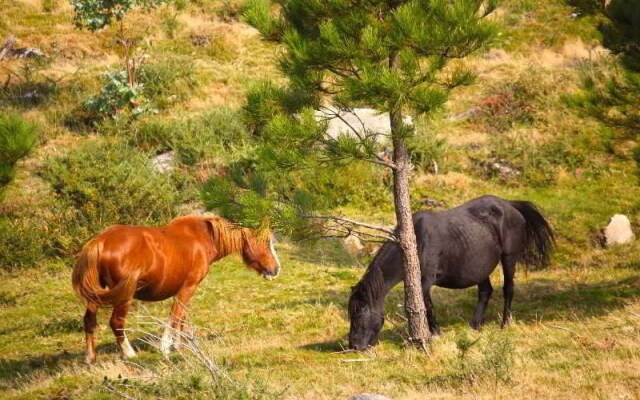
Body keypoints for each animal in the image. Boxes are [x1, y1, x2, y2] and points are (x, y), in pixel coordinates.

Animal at [71, 216, 282, 362]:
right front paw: (166, 347)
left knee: (89, 321)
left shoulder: (187, 291)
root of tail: (100, 241)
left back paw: (90, 357)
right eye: (265, 244)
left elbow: (181, 318)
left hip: (96, 295)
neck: (204, 237)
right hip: (124, 296)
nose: (276, 269)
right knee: (116, 322)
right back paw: (129, 353)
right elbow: (175, 316)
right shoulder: (188, 287)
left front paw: (179, 346)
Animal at [348, 196, 552, 350]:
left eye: (360, 314)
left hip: (509, 257)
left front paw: (428, 335)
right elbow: (426, 305)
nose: (353, 346)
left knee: (508, 288)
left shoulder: (426, 280)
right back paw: (475, 325)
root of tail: (510, 204)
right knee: (485, 291)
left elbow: (422, 306)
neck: (415, 242)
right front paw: (434, 333)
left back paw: (505, 324)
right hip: (480, 266)